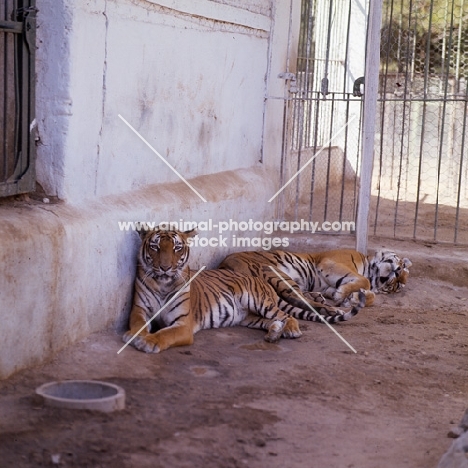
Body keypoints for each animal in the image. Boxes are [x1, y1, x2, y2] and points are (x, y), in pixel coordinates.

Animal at [120, 229, 362, 352]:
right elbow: (138, 324)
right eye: (155, 246)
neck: (163, 282)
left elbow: (165, 334)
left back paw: (291, 330)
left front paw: (149, 342)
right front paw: (134, 335)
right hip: (249, 317)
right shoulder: (139, 310)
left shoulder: (183, 325)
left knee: (287, 315)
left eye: (177, 247)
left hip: (260, 301)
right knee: (273, 320)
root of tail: (261, 282)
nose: (165, 267)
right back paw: (274, 334)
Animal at [218, 249, 412, 310]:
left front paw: (353, 298)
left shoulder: (328, 286)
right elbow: (363, 280)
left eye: (396, 286)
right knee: (296, 298)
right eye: (402, 266)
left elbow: (370, 294)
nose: (397, 274)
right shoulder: (331, 262)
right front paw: (345, 296)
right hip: (276, 273)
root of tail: (223, 264)